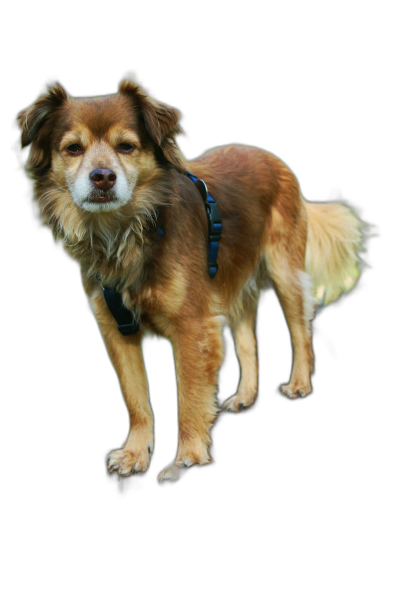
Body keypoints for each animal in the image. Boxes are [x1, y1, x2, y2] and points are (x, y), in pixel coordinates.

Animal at [18, 78, 368, 482]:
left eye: (127, 146)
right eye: (73, 149)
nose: (103, 177)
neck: (126, 232)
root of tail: (273, 159)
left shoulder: (193, 328)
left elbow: (189, 396)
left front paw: (189, 456)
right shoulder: (116, 331)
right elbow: (136, 399)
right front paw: (135, 455)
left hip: (286, 273)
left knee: (300, 331)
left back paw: (299, 384)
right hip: (232, 288)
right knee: (248, 343)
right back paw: (245, 396)